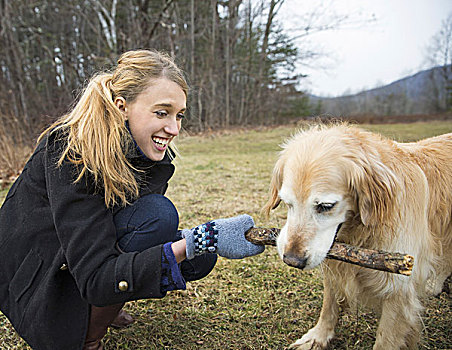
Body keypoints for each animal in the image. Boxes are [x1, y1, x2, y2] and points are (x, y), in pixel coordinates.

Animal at [264, 124, 450, 348]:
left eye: (326, 206)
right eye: (287, 203)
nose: (292, 260)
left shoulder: (398, 291)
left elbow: (385, 340)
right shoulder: (333, 264)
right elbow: (329, 305)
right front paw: (318, 336)